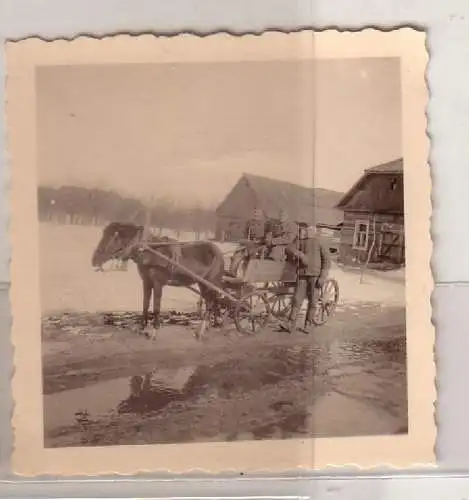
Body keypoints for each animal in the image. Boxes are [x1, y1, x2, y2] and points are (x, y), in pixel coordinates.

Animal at [91, 223, 225, 340]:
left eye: (113, 237)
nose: (94, 260)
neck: (149, 252)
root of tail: (219, 252)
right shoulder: (146, 282)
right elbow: (145, 304)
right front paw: (141, 327)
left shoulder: (158, 284)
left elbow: (156, 307)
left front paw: (154, 331)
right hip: (202, 284)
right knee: (211, 302)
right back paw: (207, 326)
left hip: (211, 283)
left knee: (211, 302)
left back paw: (202, 330)